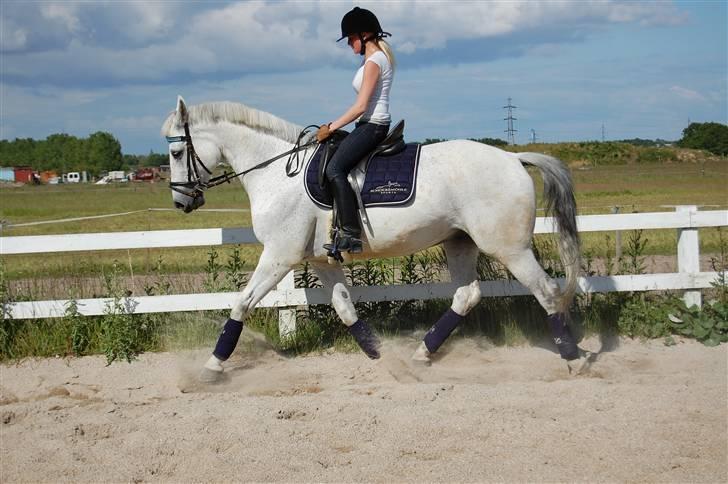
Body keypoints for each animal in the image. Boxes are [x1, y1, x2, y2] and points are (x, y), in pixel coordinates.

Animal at [161, 96, 584, 380]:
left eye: (178, 152)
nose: (181, 201)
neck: (277, 172)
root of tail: (513, 158)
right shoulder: (320, 260)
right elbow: (345, 308)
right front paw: (379, 354)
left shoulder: (280, 255)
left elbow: (242, 303)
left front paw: (212, 366)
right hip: (459, 242)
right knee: (467, 295)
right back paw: (421, 354)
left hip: (509, 248)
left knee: (547, 291)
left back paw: (574, 358)